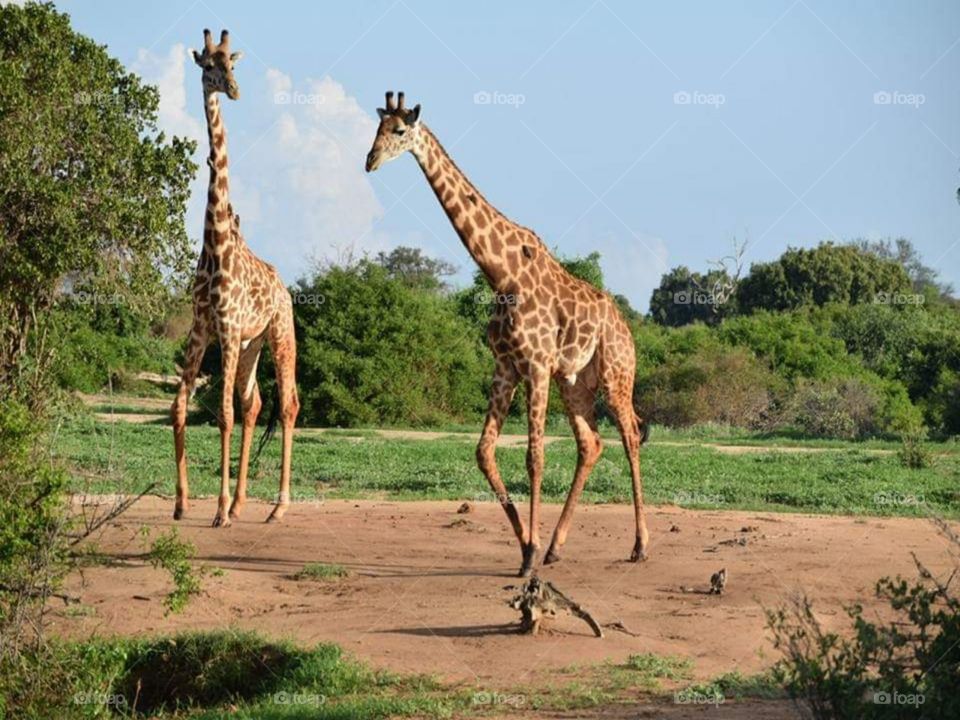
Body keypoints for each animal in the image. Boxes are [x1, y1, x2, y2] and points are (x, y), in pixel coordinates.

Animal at [171, 29, 299, 527]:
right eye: (209, 66)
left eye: (233, 65)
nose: (235, 90)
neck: (215, 242)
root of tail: (284, 289)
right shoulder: (203, 328)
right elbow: (183, 407)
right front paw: (182, 503)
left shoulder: (225, 328)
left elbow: (222, 414)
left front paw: (219, 511)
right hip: (251, 345)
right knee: (255, 403)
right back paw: (245, 502)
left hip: (280, 335)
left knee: (286, 404)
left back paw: (277, 507)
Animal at [365, 92, 650, 577]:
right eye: (376, 129)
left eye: (399, 131)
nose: (370, 161)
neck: (501, 274)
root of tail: (626, 328)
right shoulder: (506, 367)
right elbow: (484, 452)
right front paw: (527, 548)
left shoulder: (534, 365)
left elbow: (534, 457)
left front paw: (530, 555)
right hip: (574, 381)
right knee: (591, 443)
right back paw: (556, 547)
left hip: (616, 374)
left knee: (630, 434)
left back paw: (640, 545)